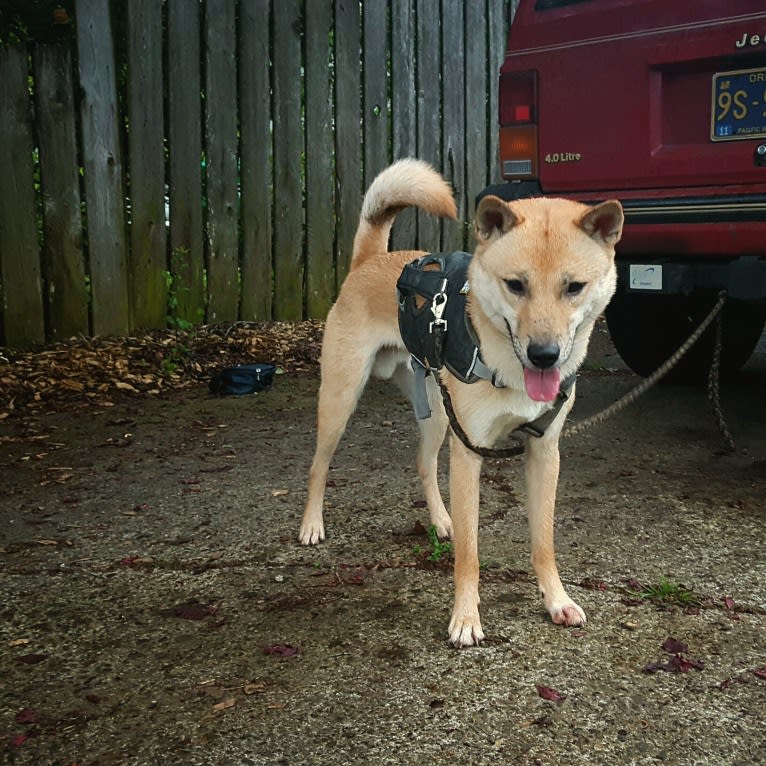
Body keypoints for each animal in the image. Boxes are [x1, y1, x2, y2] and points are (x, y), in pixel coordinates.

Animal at [300, 160, 624, 648]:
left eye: (574, 287)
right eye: (515, 285)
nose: (544, 355)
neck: (505, 364)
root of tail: (370, 261)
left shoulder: (543, 451)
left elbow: (543, 541)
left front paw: (556, 600)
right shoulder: (470, 453)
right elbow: (469, 554)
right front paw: (466, 618)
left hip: (438, 414)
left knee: (422, 462)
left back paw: (440, 520)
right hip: (341, 400)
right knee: (319, 465)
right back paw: (311, 525)